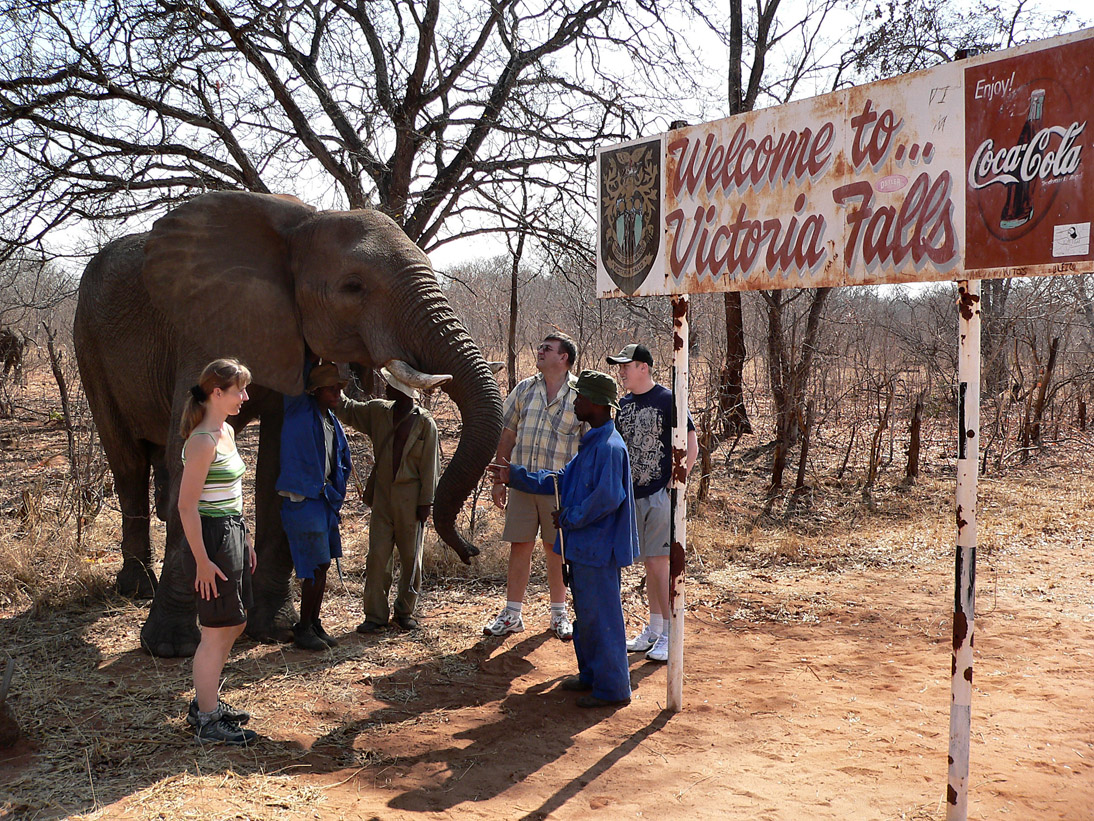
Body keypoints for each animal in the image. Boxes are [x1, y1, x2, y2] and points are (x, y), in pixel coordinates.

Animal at [74, 189, 501, 661]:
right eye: (353, 287)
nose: (470, 550)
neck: (300, 226)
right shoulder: (205, 328)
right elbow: (190, 462)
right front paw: (171, 647)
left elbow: (278, 458)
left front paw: (274, 631)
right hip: (88, 345)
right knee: (128, 463)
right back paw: (137, 590)